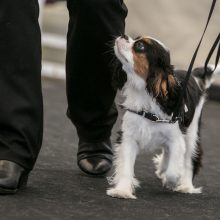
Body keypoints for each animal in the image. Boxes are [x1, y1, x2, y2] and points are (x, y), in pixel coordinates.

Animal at [106, 34, 218, 199]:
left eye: (140, 46)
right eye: (136, 38)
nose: (124, 35)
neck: (145, 95)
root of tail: (194, 77)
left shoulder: (177, 139)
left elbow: (173, 169)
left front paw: (172, 179)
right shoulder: (128, 137)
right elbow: (126, 166)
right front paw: (122, 191)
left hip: (192, 132)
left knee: (189, 157)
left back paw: (185, 185)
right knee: (167, 151)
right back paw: (162, 167)